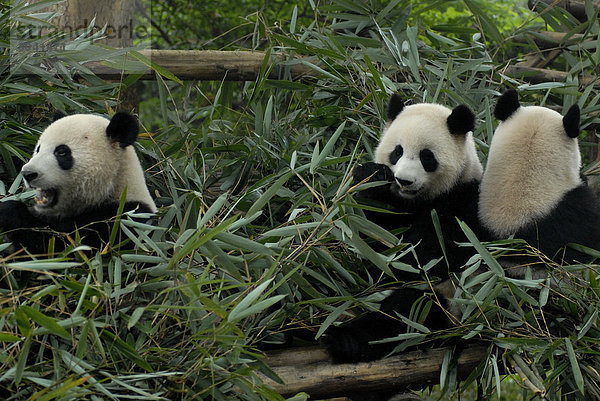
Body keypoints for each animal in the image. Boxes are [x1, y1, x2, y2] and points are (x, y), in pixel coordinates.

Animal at [0, 109, 157, 255]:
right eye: (38, 149)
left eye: (61, 152)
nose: (28, 174)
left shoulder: (125, 223)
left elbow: (60, 247)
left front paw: (9, 211)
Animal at [326, 93, 486, 362]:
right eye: (397, 152)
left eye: (427, 156)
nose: (404, 180)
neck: (419, 201)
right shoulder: (396, 211)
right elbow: (372, 241)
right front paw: (372, 177)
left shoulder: (463, 207)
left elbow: (421, 258)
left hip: (456, 301)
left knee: (407, 312)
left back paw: (346, 340)